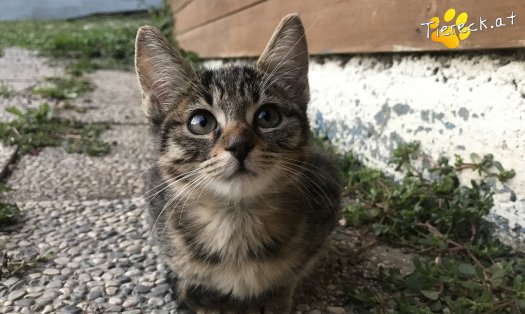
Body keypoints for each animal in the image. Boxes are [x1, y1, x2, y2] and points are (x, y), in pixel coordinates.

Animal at [134, 14, 340, 314]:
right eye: (201, 122)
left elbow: (292, 274)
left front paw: (275, 297)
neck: (237, 224)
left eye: (268, 116)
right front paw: (203, 297)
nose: (239, 145)